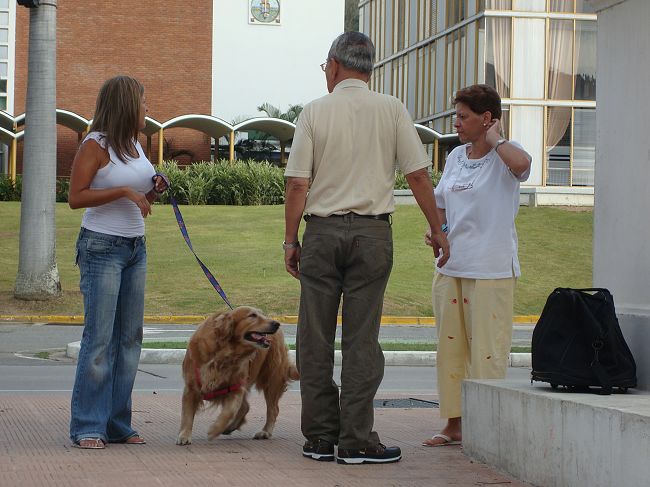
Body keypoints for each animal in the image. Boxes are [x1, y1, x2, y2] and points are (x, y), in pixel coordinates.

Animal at [177, 308, 298, 446]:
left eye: (262, 314)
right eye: (252, 315)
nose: (276, 324)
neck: (223, 353)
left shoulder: (236, 387)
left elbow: (228, 412)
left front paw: (215, 429)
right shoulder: (191, 387)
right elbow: (187, 414)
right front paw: (184, 435)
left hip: (271, 379)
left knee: (273, 409)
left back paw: (265, 432)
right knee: (246, 406)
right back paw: (231, 427)